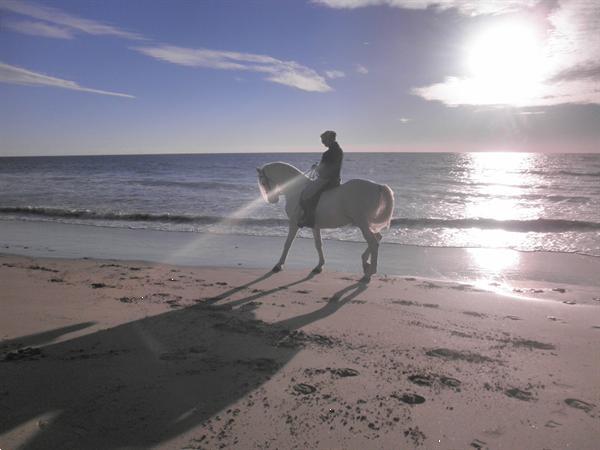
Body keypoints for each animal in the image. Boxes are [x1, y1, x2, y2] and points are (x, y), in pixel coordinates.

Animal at [256, 162, 394, 282]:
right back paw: (366, 263)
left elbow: (288, 243)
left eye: (263, 181)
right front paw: (319, 266)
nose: (272, 200)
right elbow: (318, 244)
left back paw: (369, 272)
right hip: (365, 224)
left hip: (362, 223)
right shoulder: (315, 226)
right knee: (377, 238)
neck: (297, 190)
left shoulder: (294, 223)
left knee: (373, 242)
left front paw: (279, 265)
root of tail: (378, 186)